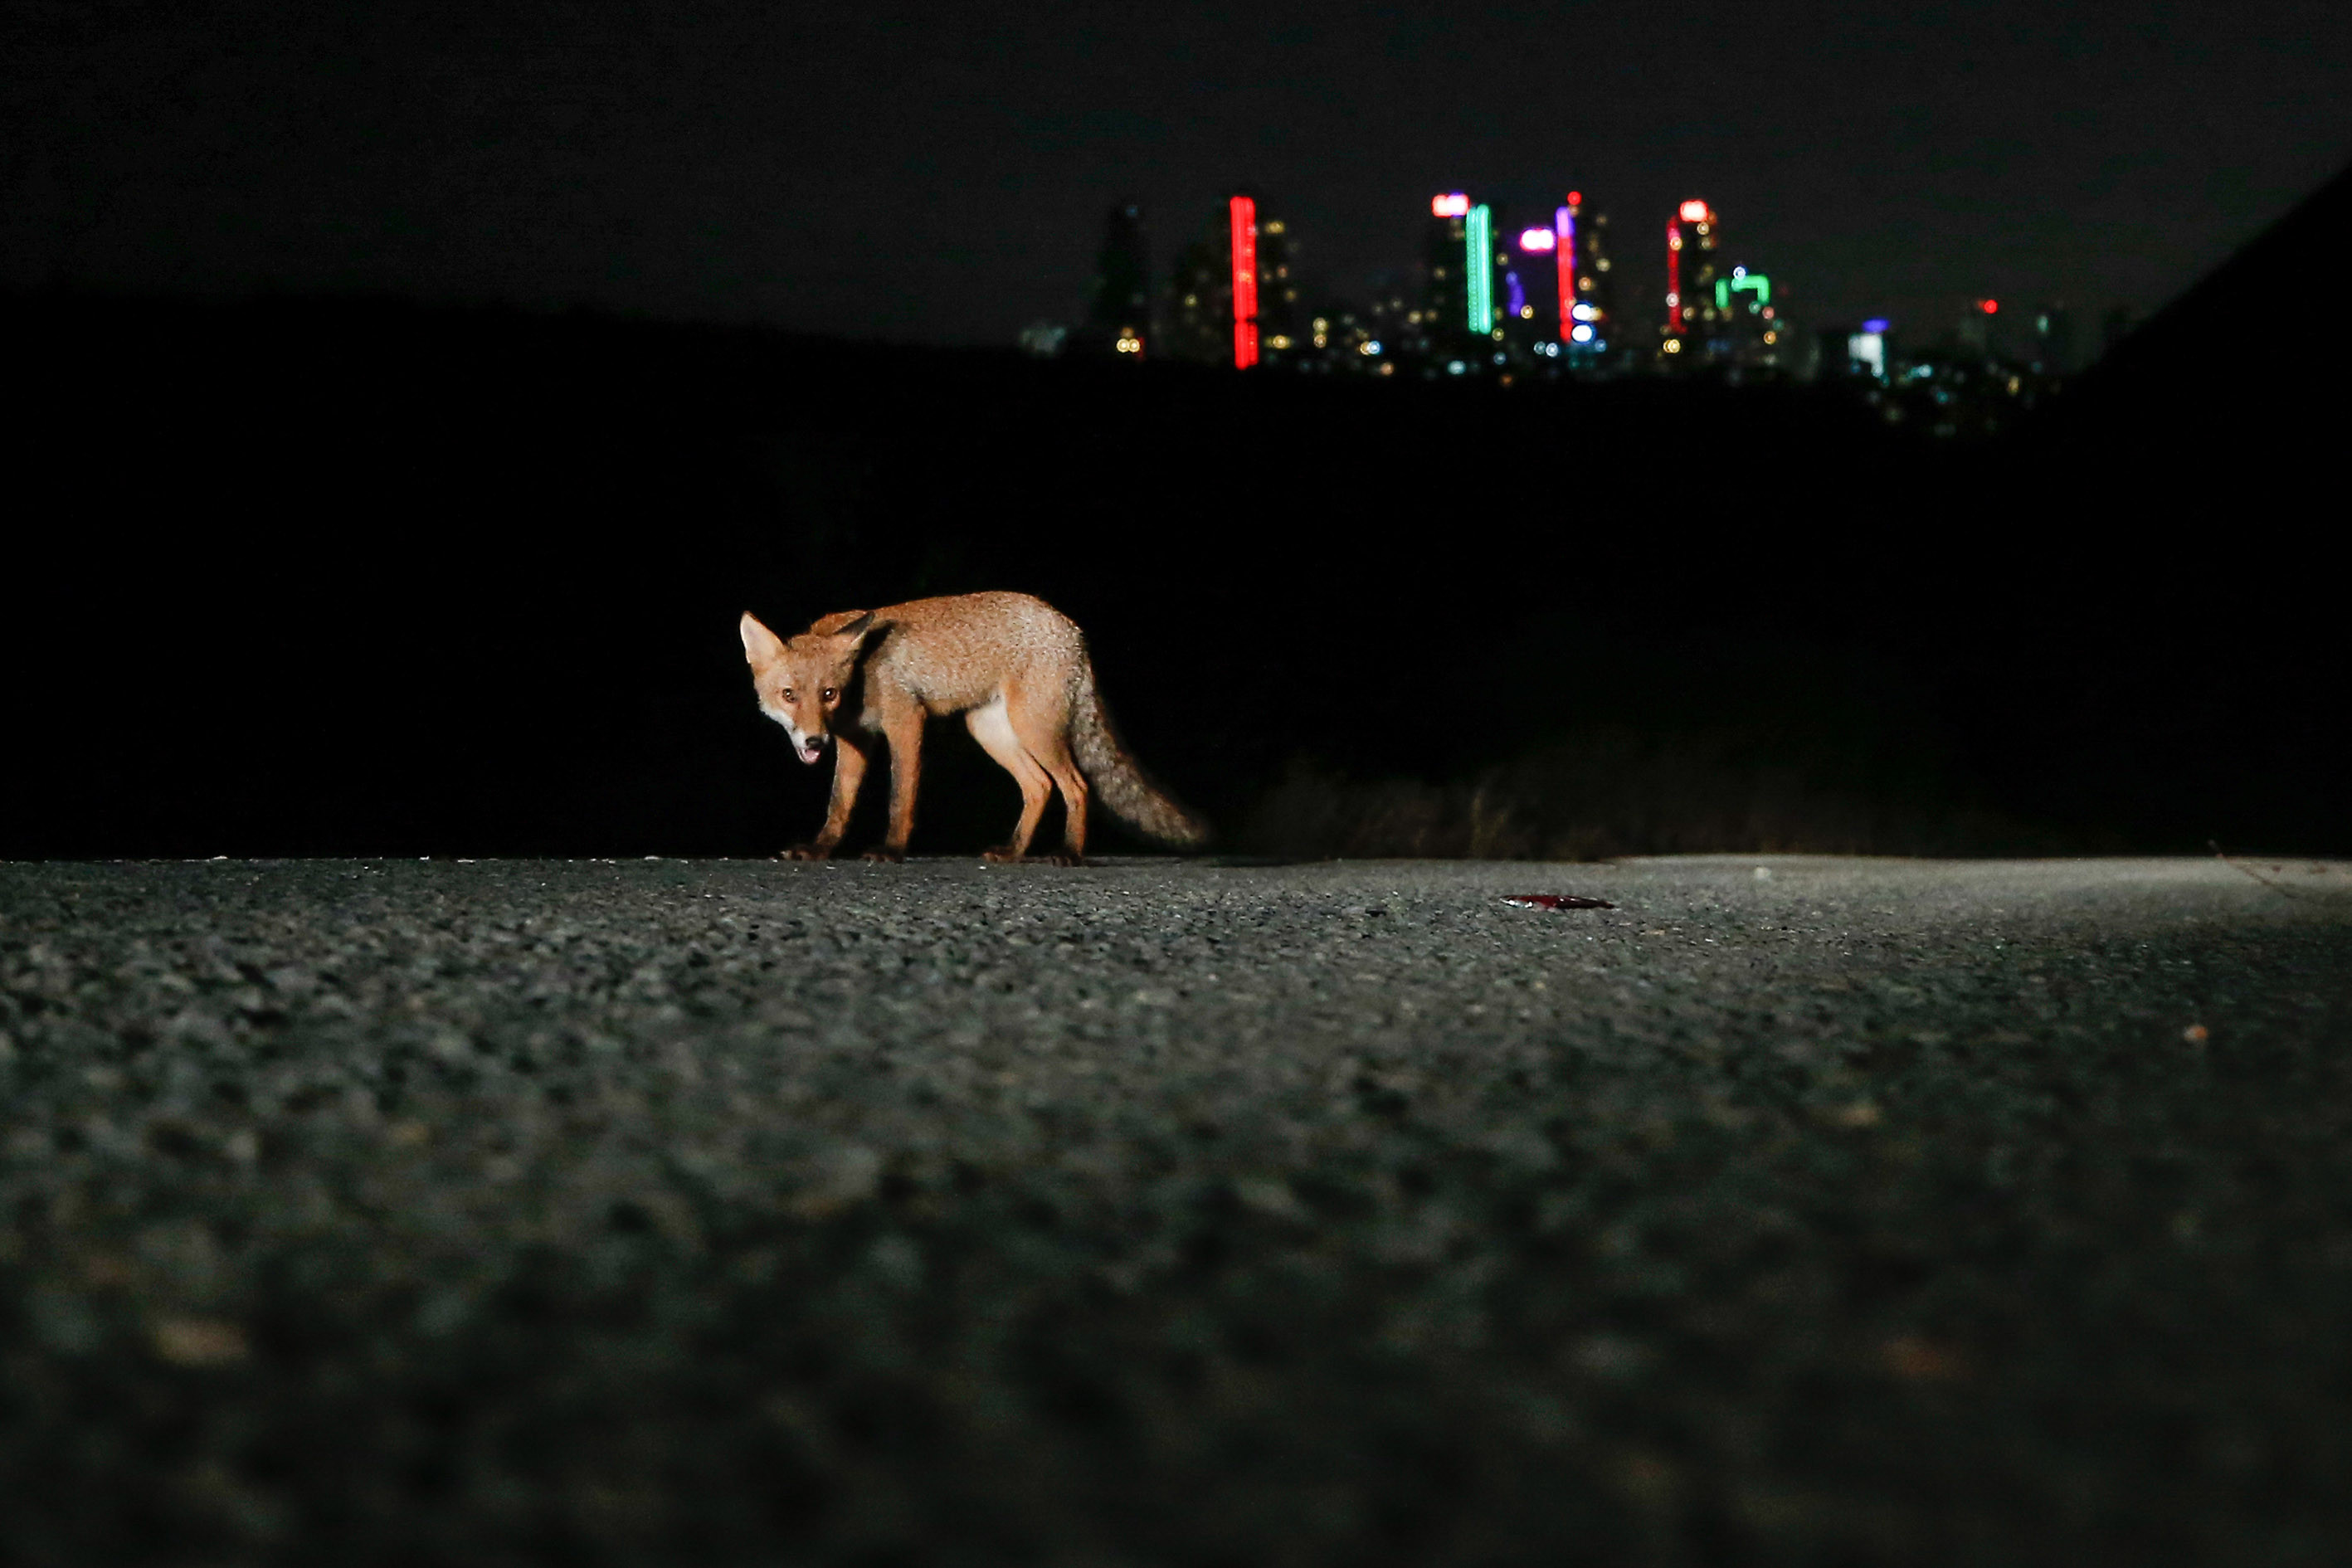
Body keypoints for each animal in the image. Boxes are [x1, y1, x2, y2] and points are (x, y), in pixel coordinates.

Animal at [738, 592, 1213, 864]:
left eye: (829, 694)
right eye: (789, 696)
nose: (814, 740)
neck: (861, 679)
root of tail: (1072, 629)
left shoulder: (906, 721)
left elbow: (900, 798)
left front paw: (892, 850)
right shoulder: (855, 740)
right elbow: (838, 805)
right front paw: (819, 851)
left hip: (1034, 728)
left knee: (1076, 786)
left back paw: (1069, 853)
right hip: (989, 730)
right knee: (1039, 785)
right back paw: (1014, 852)